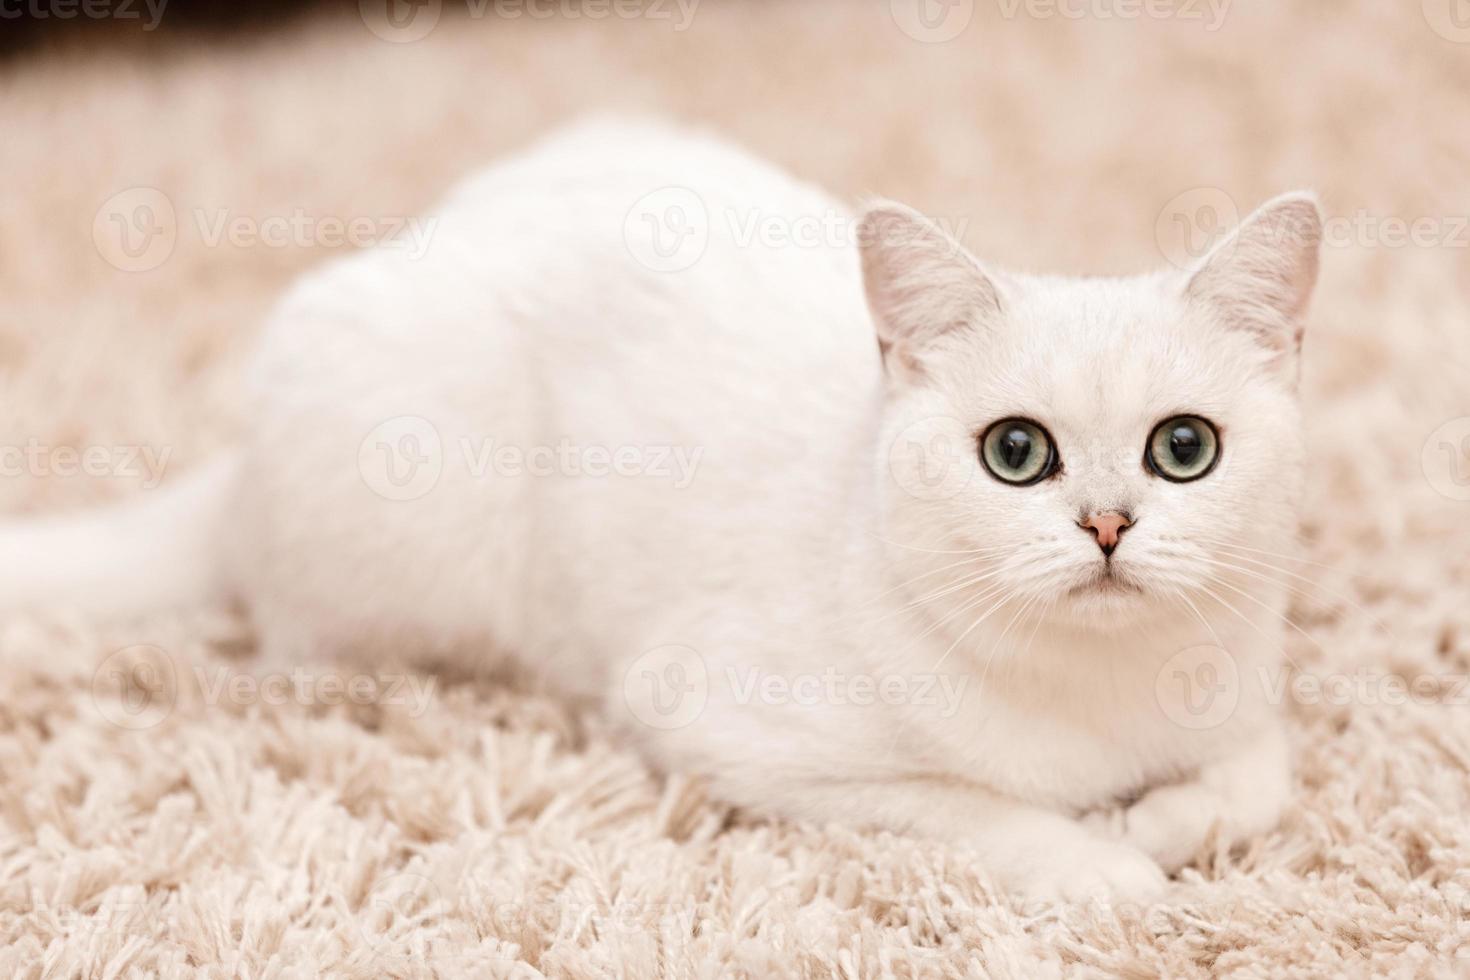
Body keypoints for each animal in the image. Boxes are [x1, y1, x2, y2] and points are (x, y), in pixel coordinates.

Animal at [0, 120, 1328, 905]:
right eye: (1016, 452)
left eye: (1184, 448)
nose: (1107, 524)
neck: (1102, 700)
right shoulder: (743, 734)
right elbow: (979, 813)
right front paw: (1117, 863)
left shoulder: (1246, 692)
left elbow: (1257, 778)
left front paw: (1166, 820)